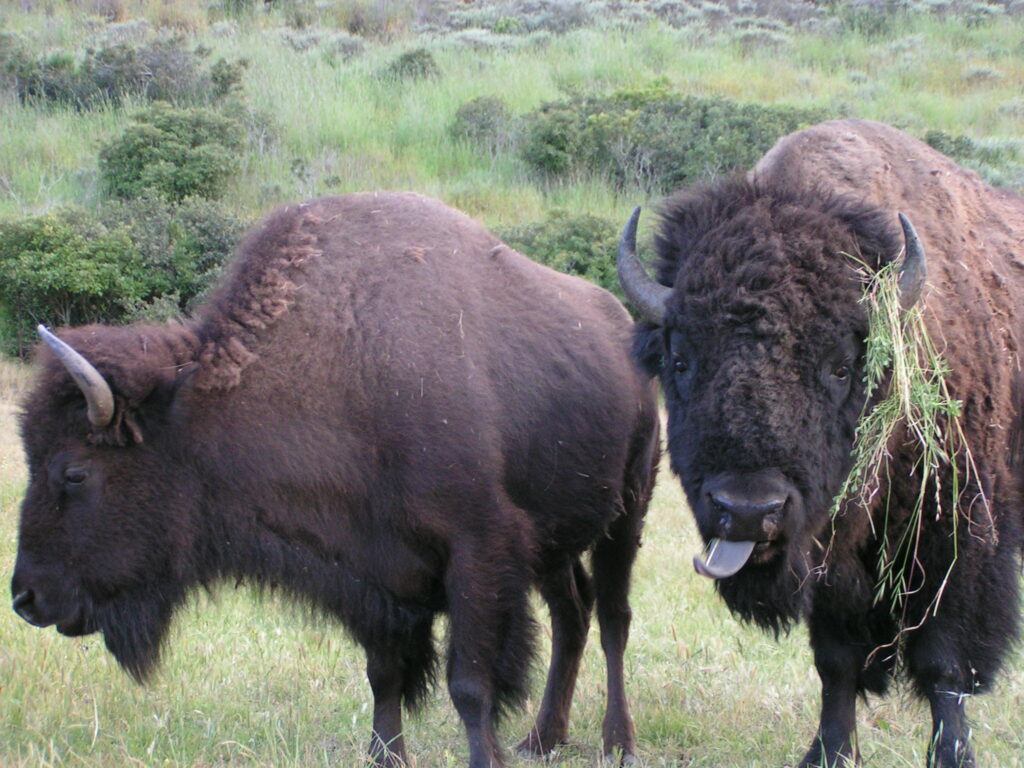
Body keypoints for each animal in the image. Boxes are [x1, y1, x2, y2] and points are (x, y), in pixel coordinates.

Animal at [12, 192, 659, 768]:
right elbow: (384, 676)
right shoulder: (371, 570)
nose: (25, 598)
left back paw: (618, 743)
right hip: (555, 544)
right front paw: (385, 757)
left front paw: (483, 759)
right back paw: (543, 739)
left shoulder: (479, 552)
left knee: (613, 619)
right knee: (573, 613)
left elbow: (470, 684)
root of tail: (621, 325)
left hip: (627, 512)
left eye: (74, 472)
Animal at [614, 117, 1024, 765]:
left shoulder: (958, 538)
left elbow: (944, 661)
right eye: (681, 361)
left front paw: (952, 754)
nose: (748, 510)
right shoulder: (831, 564)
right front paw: (828, 751)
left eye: (840, 366)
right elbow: (836, 662)